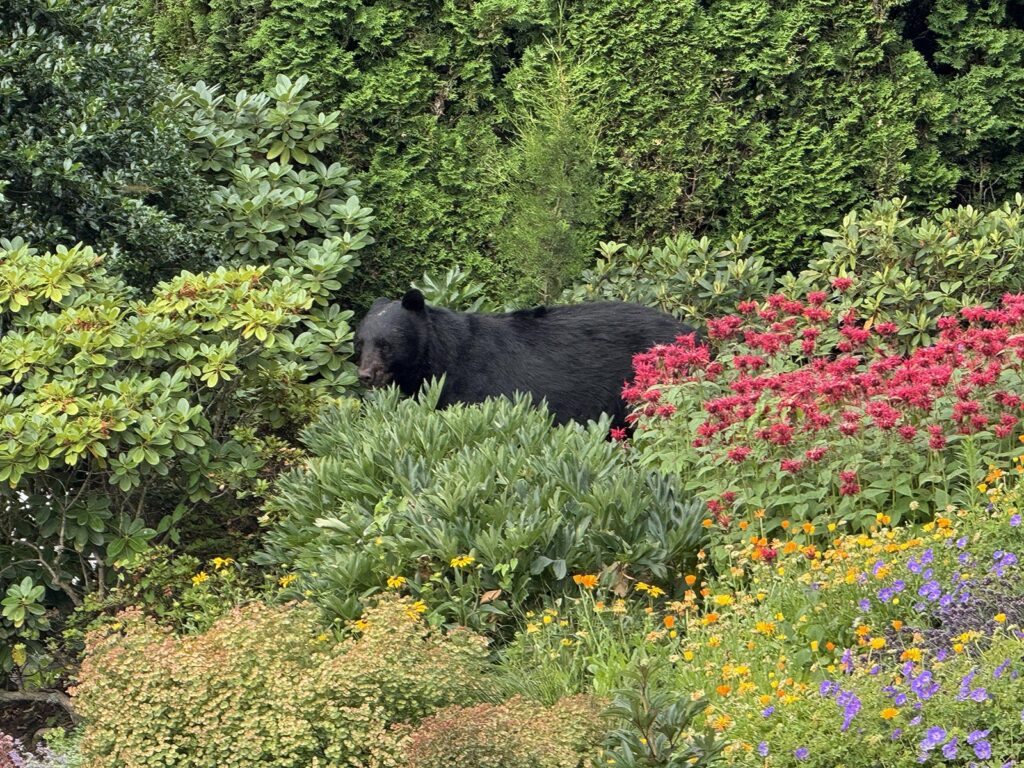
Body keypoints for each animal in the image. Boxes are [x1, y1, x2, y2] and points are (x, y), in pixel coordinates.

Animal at [354, 289, 702, 429]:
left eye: (386, 344)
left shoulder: (478, 384)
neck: (440, 361)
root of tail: (692, 331)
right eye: (360, 342)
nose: (365, 375)